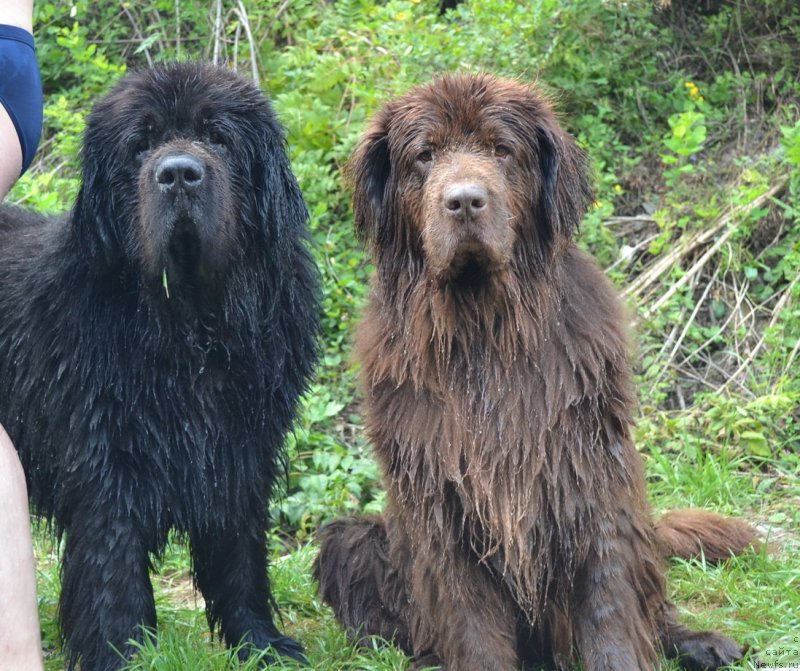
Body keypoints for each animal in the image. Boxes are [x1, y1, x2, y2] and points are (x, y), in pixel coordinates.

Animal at [0, 61, 318, 668]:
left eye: (218, 137)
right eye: (141, 144)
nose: (178, 175)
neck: (189, 327)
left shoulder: (239, 449)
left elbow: (239, 558)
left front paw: (261, 644)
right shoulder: (106, 456)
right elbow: (113, 570)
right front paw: (122, 656)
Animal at [314, 75, 756, 671]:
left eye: (502, 149)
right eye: (424, 155)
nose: (465, 201)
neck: (484, 329)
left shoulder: (589, 467)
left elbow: (609, 597)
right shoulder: (440, 495)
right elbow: (470, 616)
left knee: (651, 602)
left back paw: (700, 642)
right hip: (354, 542)